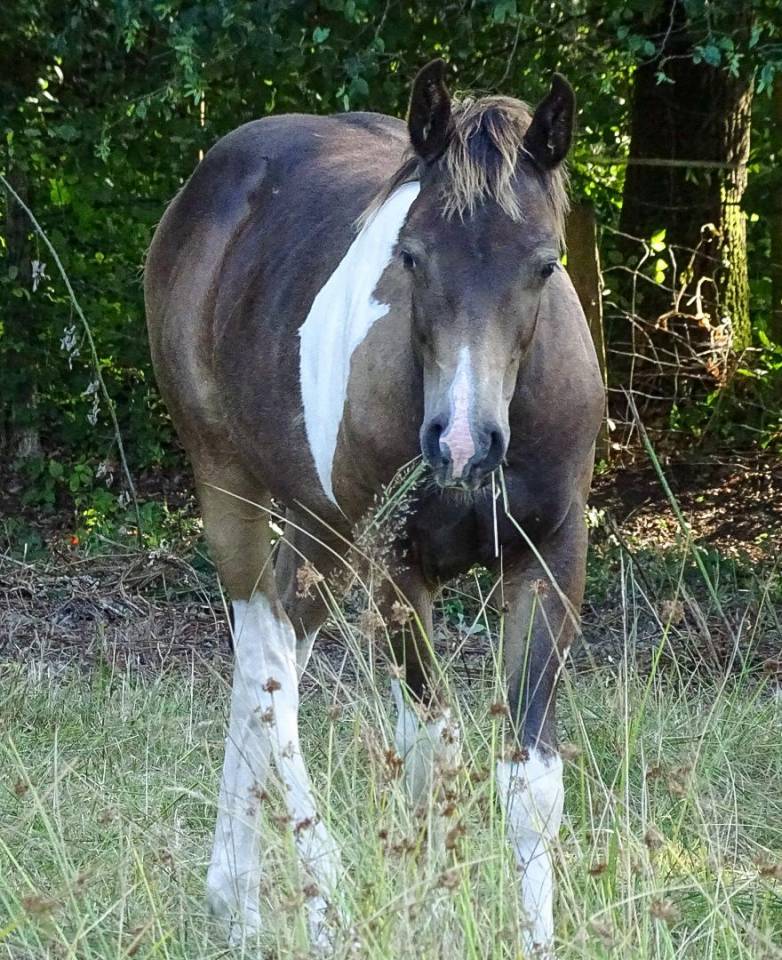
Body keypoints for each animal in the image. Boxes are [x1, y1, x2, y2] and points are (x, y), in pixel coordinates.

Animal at [145, 59, 603, 956]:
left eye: (544, 264)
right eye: (412, 257)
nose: (460, 444)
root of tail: (208, 182)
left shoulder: (551, 559)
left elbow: (529, 780)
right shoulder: (399, 567)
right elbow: (431, 748)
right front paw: (424, 910)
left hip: (315, 529)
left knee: (270, 649)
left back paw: (235, 899)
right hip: (239, 488)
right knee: (265, 658)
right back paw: (307, 900)